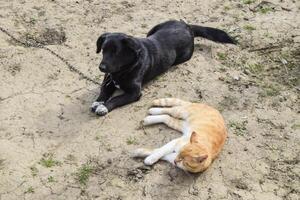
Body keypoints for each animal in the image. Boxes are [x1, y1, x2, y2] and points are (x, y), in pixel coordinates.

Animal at [90, 19, 236, 115]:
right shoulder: (108, 81)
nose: (101, 67)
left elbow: (116, 99)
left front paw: (104, 107)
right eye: (103, 50)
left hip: (183, 57)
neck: (123, 71)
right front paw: (98, 103)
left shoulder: (134, 92)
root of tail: (187, 26)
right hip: (153, 29)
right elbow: (103, 92)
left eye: (116, 52)